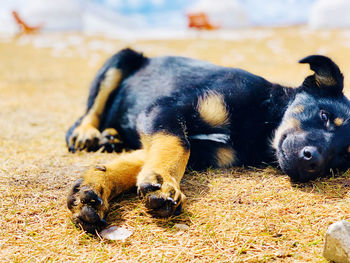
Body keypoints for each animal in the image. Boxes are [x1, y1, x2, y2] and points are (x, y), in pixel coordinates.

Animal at [67, 48, 350, 234]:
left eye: (344, 156)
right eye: (324, 116)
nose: (313, 163)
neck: (260, 125)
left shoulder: (201, 149)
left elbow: (137, 164)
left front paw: (95, 188)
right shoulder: (162, 110)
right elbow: (178, 146)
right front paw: (163, 182)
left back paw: (111, 137)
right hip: (121, 59)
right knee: (89, 113)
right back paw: (88, 133)